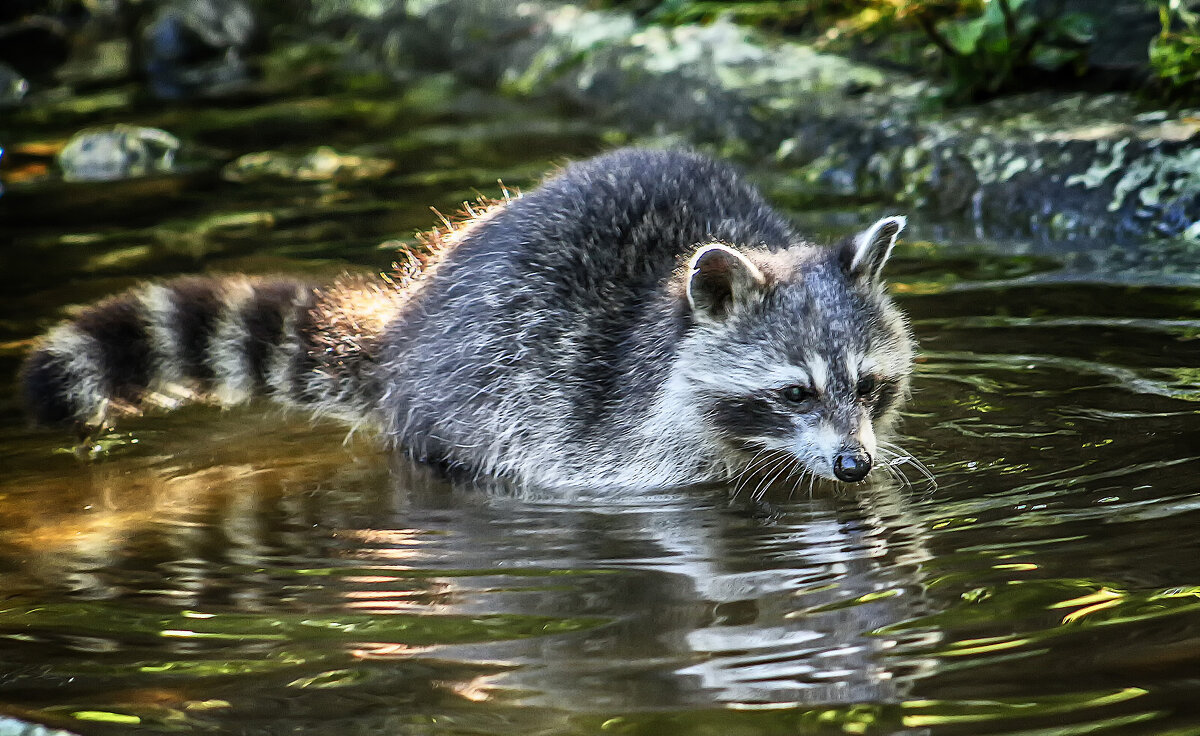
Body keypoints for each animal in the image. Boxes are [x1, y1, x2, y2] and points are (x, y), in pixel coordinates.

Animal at [18, 148, 912, 487]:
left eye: (868, 387)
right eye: (794, 393)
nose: (855, 465)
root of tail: (406, 333)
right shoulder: (602, 443)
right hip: (469, 389)